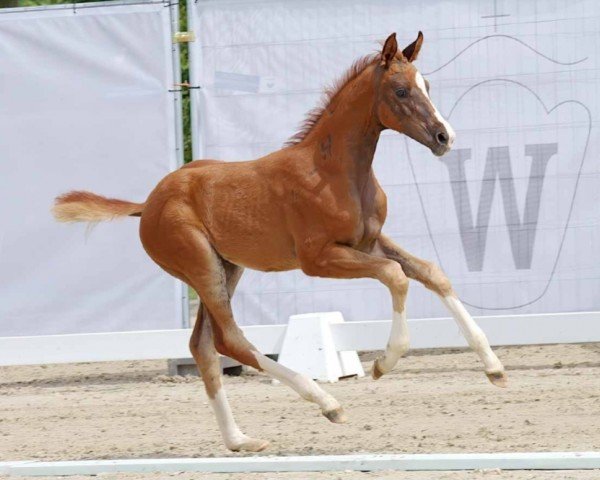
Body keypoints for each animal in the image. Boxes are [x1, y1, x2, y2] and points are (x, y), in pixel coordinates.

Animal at [55, 31, 506, 452]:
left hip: (227, 267)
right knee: (229, 339)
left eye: (425, 84)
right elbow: (396, 276)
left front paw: (494, 368)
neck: (335, 171)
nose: (445, 137)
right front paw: (383, 363)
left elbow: (432, 273)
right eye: (400, 91)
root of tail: (147, 203)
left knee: (202, 345)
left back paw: (240, 440)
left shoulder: (368, 242)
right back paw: (326, 402)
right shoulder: (318, 258)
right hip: (201, 265)